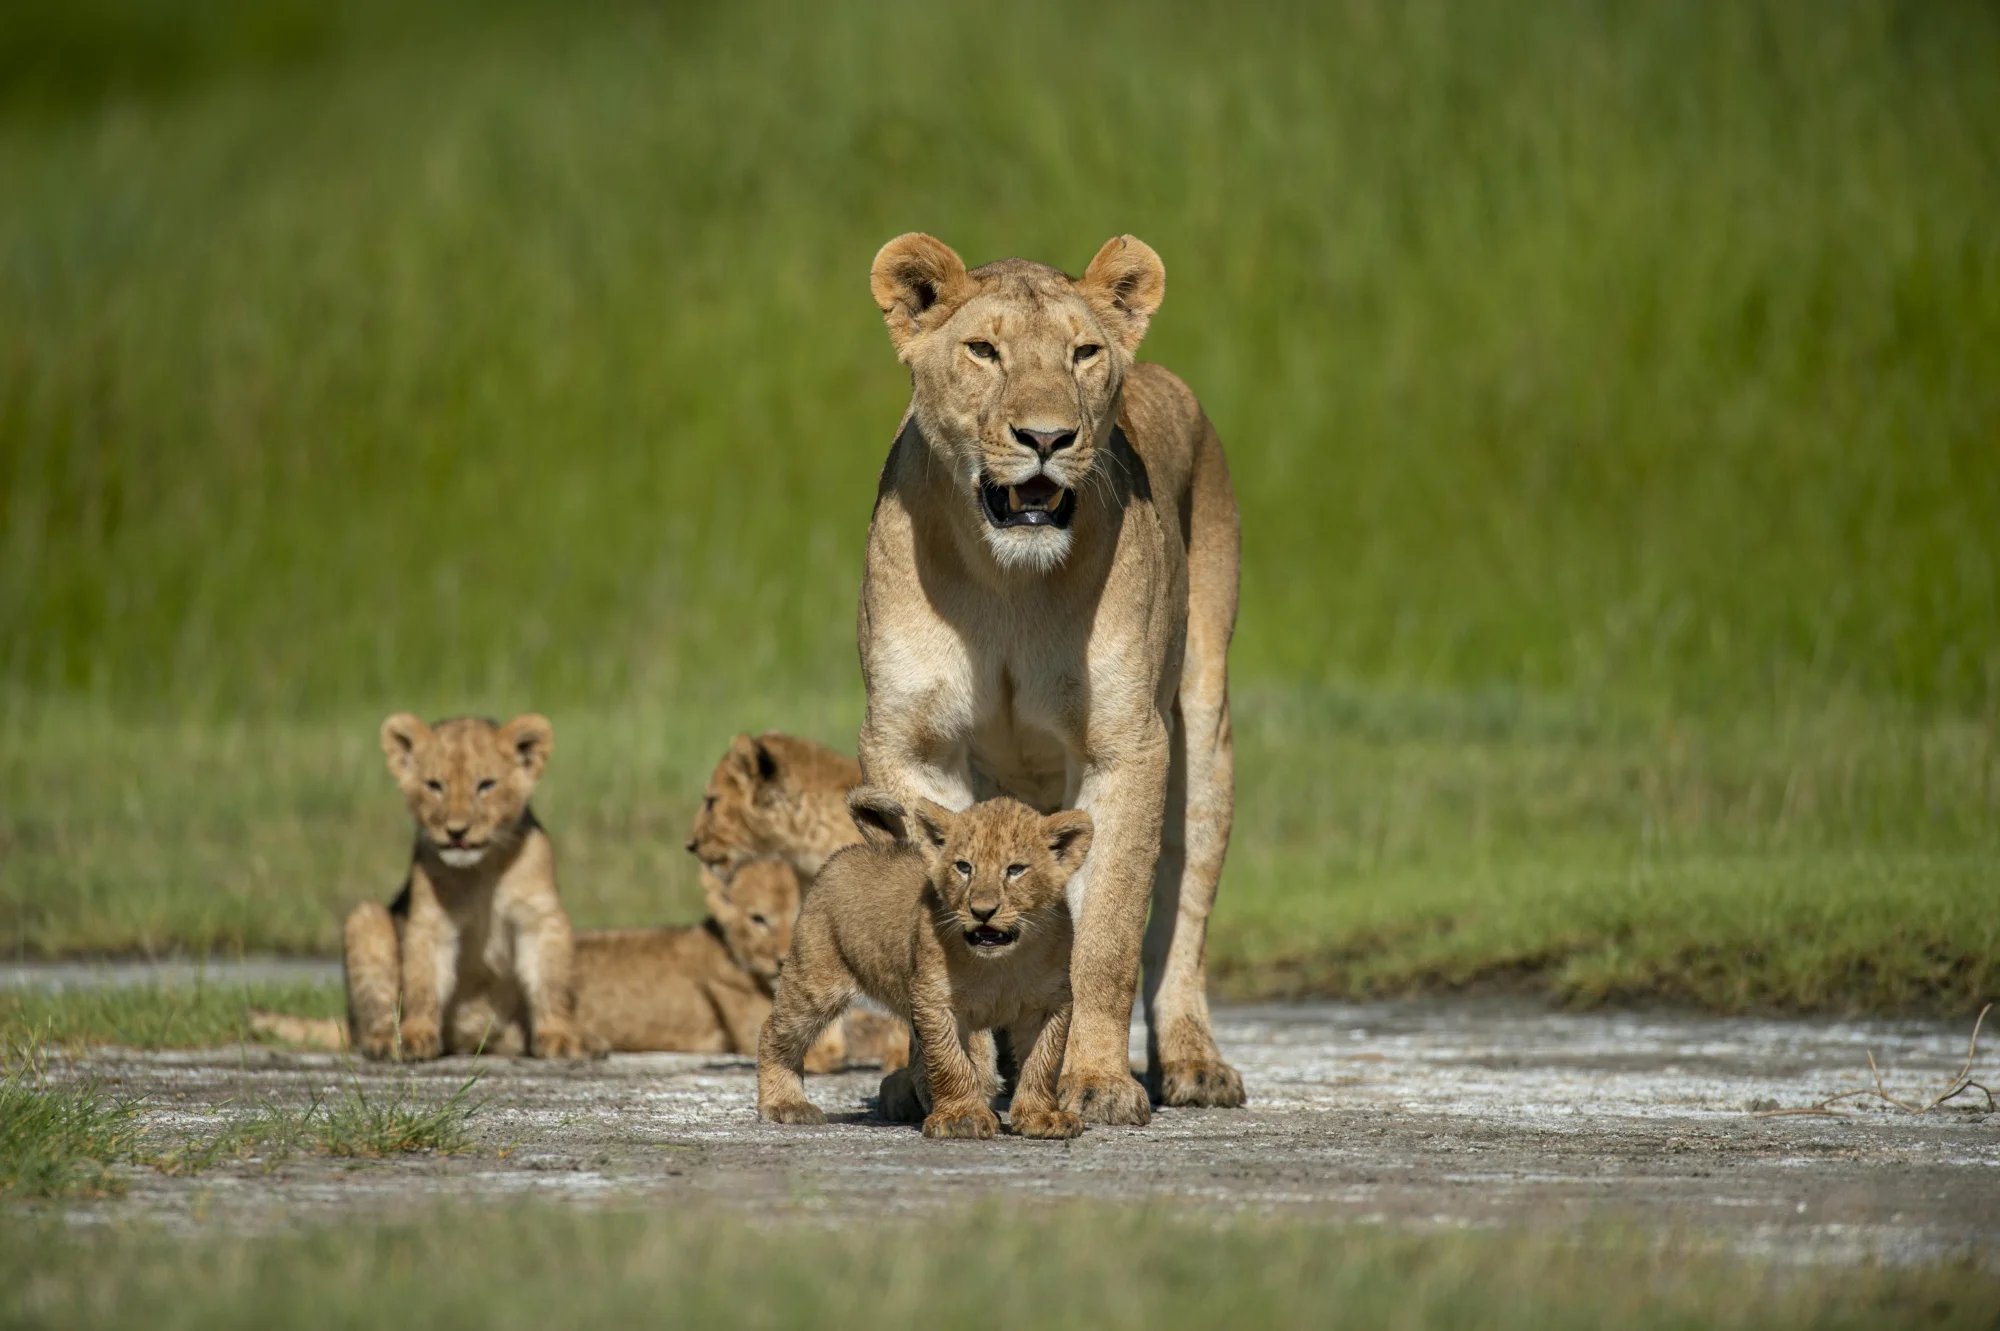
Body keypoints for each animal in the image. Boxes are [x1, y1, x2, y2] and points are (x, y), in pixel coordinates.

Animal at [342, 713, 587, 1060]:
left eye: (485, 785)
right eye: (434, 785)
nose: (457, 832)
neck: (480, 870)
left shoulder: (540, 917)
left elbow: (550, 981)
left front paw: (560, 1037)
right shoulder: (431, 922)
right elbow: (423, 982)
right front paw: (416, 1036)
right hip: (365, 918)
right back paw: (386, 1043)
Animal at [758, 790, 1092, 1141]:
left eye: (1015, 869)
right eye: (964, 867)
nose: (982, 911)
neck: (1000, 963)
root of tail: (865, 848)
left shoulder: (1049, 1003)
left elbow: (1043, 1061)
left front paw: (1041, 1117)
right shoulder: (933, 999)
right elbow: (950, 1061)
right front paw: (962, 1117)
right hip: (814, 981)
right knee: (774, 1033)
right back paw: (786, 1104)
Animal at [855, 233, 1246, 1125]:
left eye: (1083, 353)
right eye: (983, 350)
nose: (1047, 436)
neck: (1007, 581)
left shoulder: (1126, 747)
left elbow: (1106, 933)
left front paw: (1096, 1080)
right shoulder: (909, 743)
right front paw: (944, 1078)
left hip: (1204, 736)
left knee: (1183, 916)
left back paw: (1194, 1064)